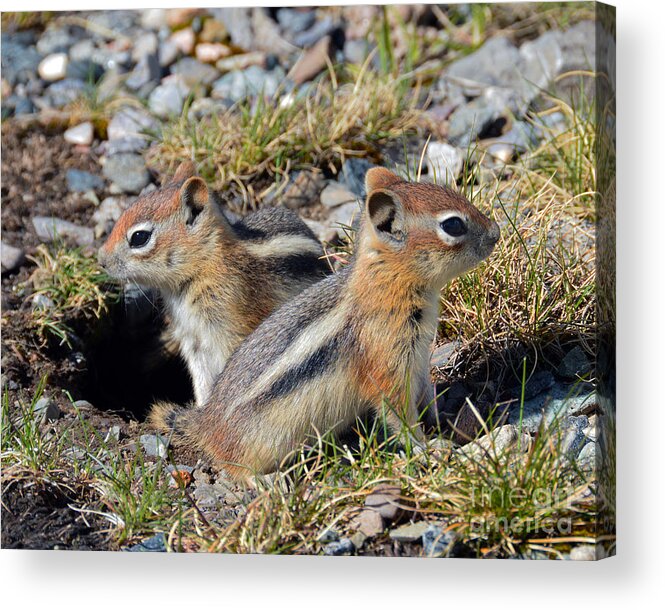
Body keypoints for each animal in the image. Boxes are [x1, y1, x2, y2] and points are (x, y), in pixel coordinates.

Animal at [98, 162, 326, 404]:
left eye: (139, 237)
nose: (100, 260)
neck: (204, 265)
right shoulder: (193, 340)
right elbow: (201, 378)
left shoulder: (232, 331)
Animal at [150, 167, 498, 480]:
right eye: (453, 224)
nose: (496, 232)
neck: (387, 283)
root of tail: (207, 421)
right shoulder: (385, 362)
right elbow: (398, 413)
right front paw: (428, 447)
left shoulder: (420, 355)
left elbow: (425, 393)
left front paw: (443, 418)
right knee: (231, 465)